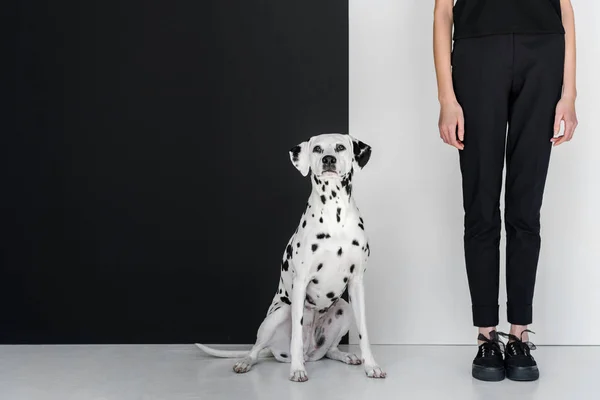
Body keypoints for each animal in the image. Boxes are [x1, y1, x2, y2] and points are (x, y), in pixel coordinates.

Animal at [196, 134, 384, 382]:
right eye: (317, 149)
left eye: (340, 147)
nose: (328, 159)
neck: (334, 215)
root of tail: (310, 353)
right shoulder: (301, 283)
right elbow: (296, 335)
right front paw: (297, 370)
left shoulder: (356, 283)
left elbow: (364, 332)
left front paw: (371, 365)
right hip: (279, 314)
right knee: (256, 349)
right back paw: (248, 361)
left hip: (343, 308)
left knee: (330, 350)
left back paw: (345, 356)